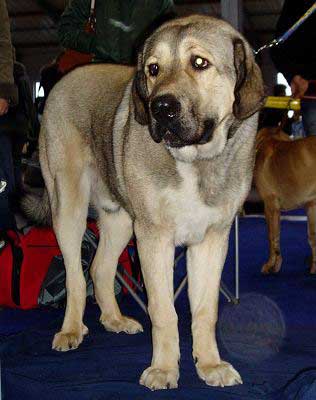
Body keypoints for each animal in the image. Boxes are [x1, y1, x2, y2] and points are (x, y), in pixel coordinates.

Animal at [27, 15, 264, 390]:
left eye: (200, 63)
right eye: (153, 69)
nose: (161, 108)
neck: (195, 161)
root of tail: (64, 81)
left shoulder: (212, 239)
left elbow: (205, 311)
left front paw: (210, 365)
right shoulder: (155, 237)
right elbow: (164, 311)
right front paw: (164, 370)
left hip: (121, 218)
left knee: (100, 267)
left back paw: (114, 320)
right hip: (69, 207)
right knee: (76, 276)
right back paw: (71, 330)